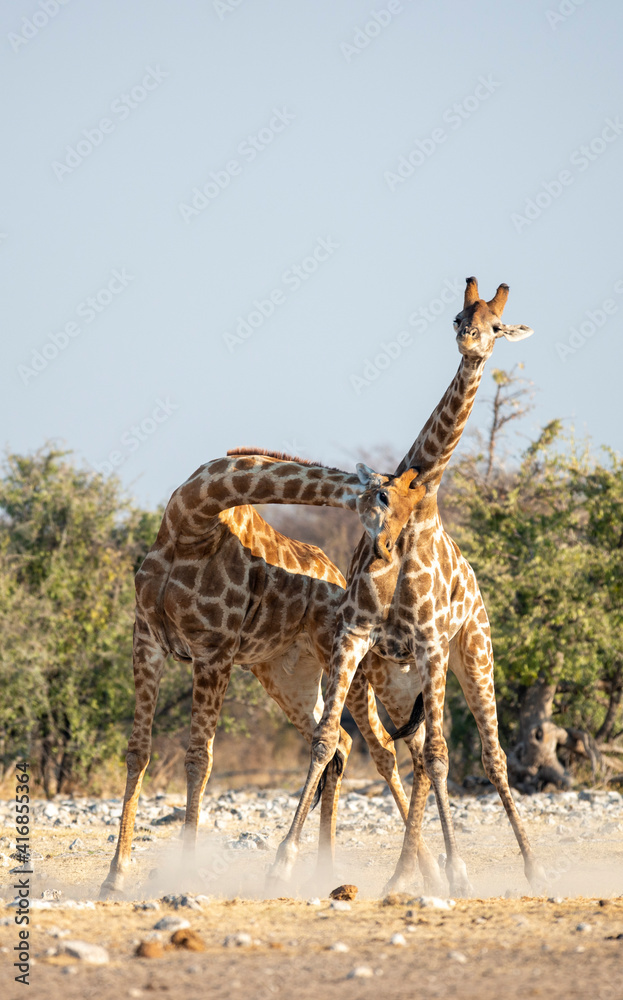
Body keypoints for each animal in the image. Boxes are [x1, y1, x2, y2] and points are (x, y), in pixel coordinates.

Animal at [100, 453, 437, 896]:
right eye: (384, 496)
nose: (385, 550)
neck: (192, 518)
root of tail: (340, 579)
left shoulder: (214, 649)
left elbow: (199, 758)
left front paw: (184, 873)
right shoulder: (146, 640)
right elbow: (138, 751)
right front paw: (114, 876)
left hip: (347, 664)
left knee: (379, 744)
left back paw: (420, 870)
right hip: (285, 678)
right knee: (343, 741)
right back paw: (327, 872)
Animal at [268, 277, 547, 896]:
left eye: (496, 326)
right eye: (458, 318)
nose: (472, 343)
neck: (417, 514)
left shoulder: (432, 643)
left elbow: (445, 755)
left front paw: (460, 870)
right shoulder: (355, 637)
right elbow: (326, 738)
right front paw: (283, 859)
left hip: (473, 655)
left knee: (488, 754)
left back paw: (530, 867)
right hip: (398, 680)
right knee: (414, 753)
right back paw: (407, 872)